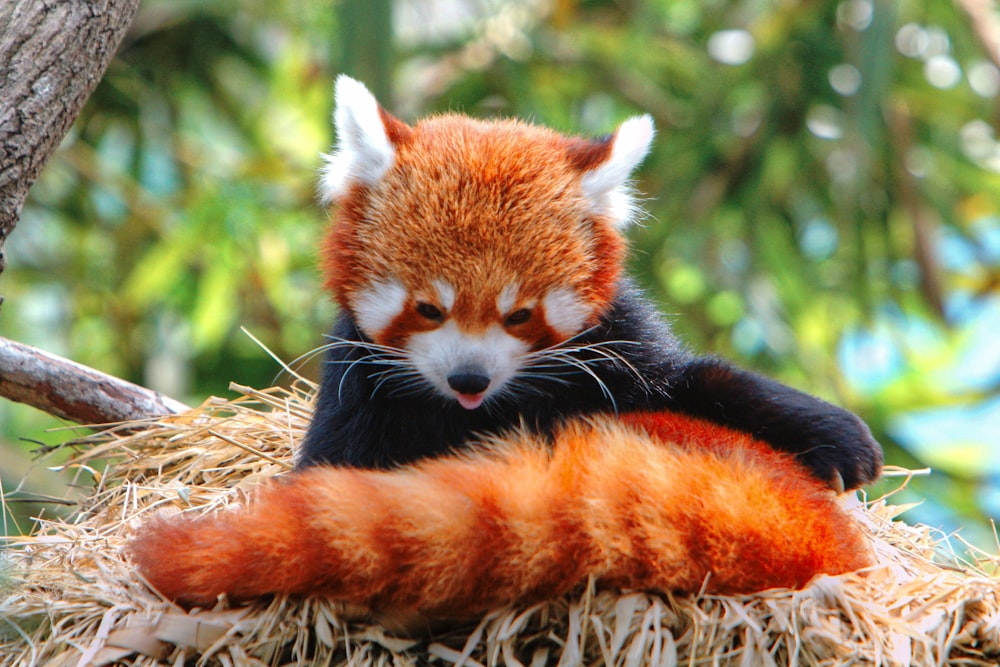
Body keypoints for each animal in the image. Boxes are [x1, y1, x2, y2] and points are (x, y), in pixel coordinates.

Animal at [127, 75, 884, 612]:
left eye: (520, 315)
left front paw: (839, 439)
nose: (469, 379)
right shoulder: (356, 381)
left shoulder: (618, 340)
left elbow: (700, 379)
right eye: (428, 309)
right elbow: (329, 472)